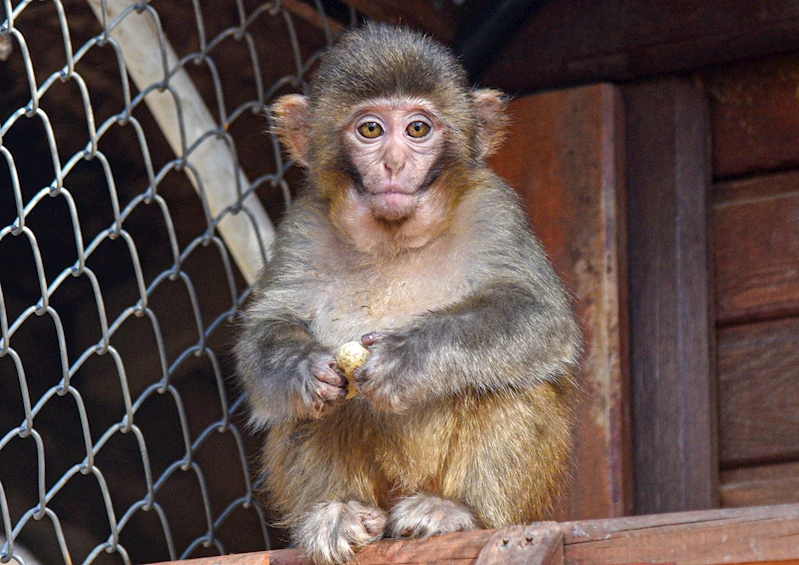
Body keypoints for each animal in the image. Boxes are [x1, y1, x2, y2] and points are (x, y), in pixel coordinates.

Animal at [233, 22, 580, 564]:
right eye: (370, 130)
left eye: (418, 129)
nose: (394, 162)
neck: (394, 237)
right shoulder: (303, 225)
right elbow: (266, 330)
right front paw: (302, 367)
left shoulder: (493, 209)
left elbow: (539, 317)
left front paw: (408, 357)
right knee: (306, 412)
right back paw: (337, 513)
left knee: (510, 382)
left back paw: (455, 512)